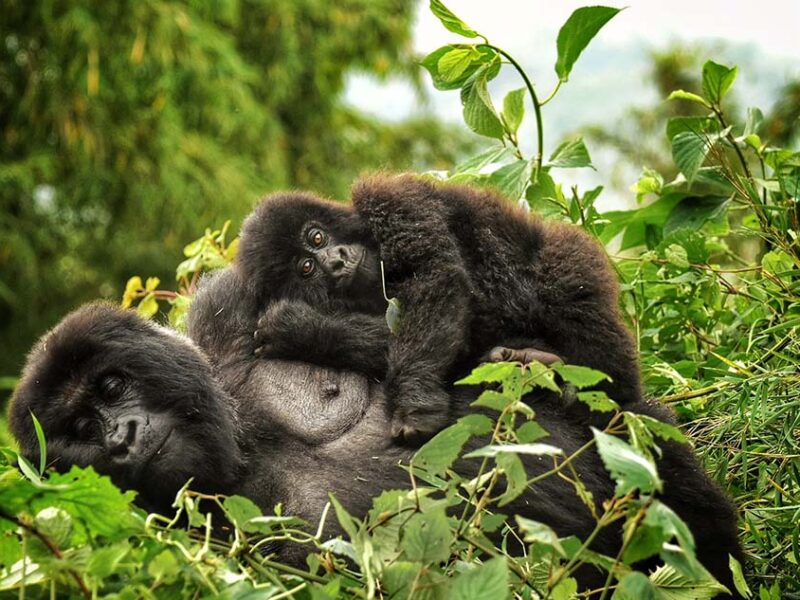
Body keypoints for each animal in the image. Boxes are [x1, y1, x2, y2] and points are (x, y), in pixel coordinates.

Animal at [234, 176, 640, 438]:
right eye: (306, 268)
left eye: (317, 236)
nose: (335, 261)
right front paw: (304, 331)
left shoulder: (390, 200)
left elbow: (437, 276)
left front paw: (414, 404)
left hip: (573, 257)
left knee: (569, 288)